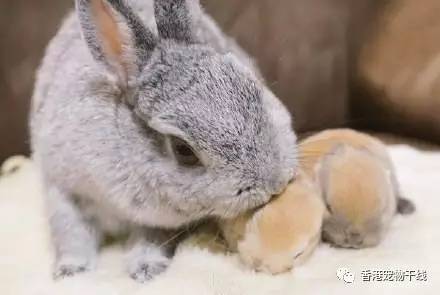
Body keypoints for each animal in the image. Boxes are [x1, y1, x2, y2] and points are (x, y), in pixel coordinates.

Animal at [30, 0, 300, 284]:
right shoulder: (64, 189)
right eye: (183, 150)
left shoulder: (155, 223)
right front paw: (70, 273)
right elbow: (71, 234)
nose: (274, 183)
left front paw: (145, 269)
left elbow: (149, 239)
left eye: (255, 88)